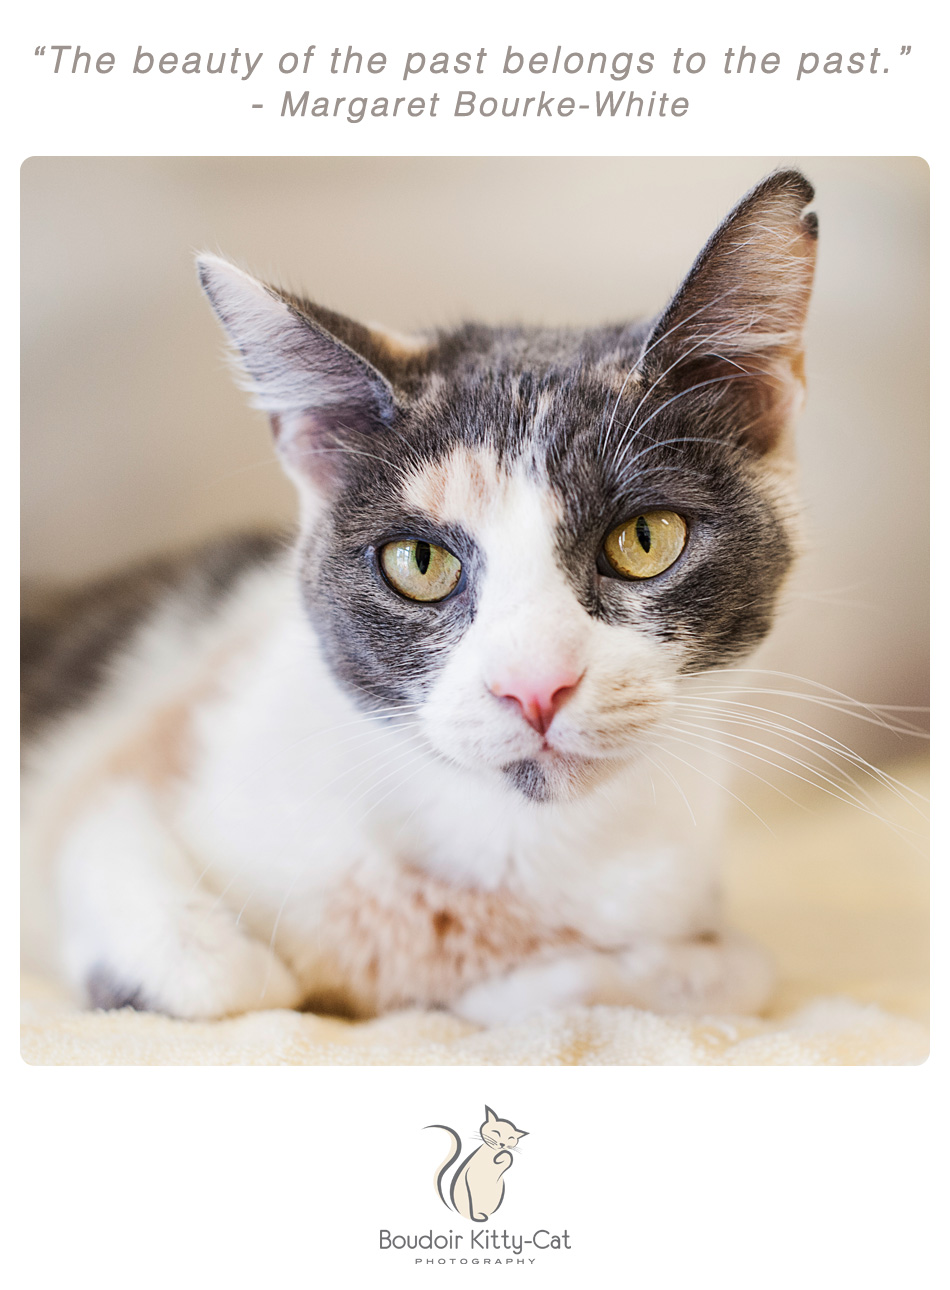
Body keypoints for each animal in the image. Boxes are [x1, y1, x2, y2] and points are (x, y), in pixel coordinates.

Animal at [16, 171, 815, 1021]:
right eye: (419, 561)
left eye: (645, 539)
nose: (535, 686)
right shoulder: (124, 757)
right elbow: (223, 971)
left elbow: (731, 971)